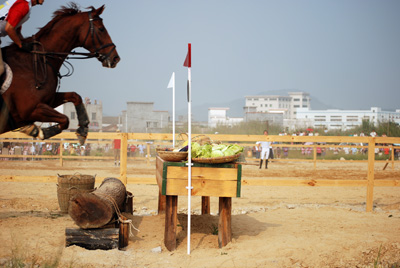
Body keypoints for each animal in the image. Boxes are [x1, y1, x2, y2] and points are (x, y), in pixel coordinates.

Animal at [0, 2, 120, 144]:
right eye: (101, 29)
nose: (115, 58)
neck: (36, 60)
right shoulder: (30, 110)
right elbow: (65, 119)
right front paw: (37, 131)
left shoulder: (48, 100)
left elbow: (75, 96)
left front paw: (83, 129)